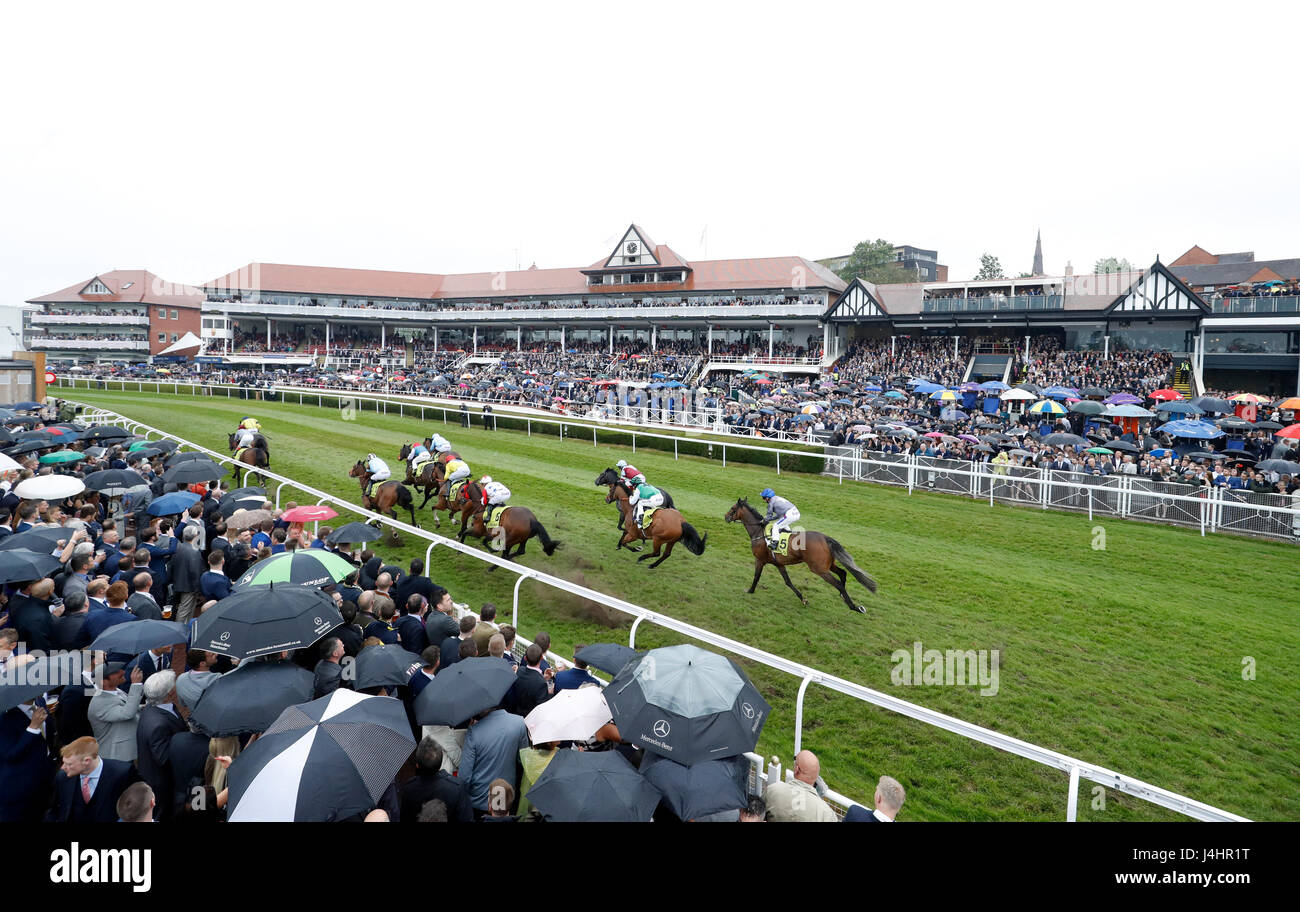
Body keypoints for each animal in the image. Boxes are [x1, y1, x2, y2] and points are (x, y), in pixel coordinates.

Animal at [722, 498, 873, 613]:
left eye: (733, 508)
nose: (726, 517)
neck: (759, 533)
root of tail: (825, 538)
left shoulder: (759, 560)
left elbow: (756, 576)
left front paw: (750, 590)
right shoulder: (779, 563)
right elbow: (788, 582)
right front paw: (803, 599)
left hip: (819, 568)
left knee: (837, 583)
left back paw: (854, 607)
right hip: (829, 564)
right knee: (843, 574)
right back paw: (843, 597)